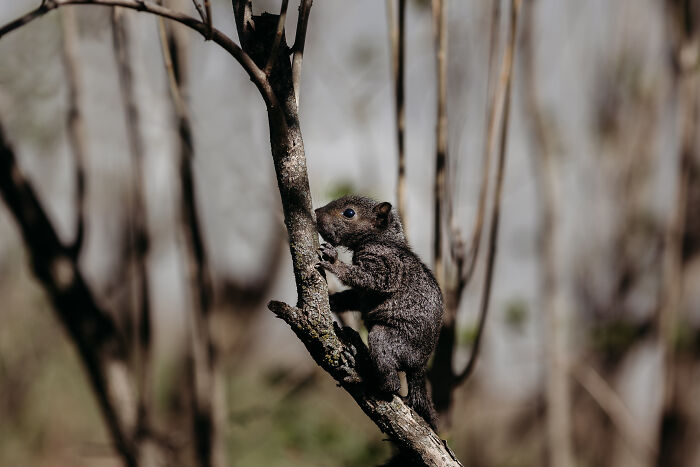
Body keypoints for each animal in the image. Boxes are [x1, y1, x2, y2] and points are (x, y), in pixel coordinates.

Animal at [315, 195, 443, 430]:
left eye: (349, 213)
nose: (316, 212)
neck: (383, 239)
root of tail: (420, 366)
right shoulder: (362, 294)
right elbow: (354, 297)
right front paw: (331, 300)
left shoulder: (386, 265)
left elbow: (370, 279)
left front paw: (334, 261)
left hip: (388, 339)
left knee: (391, 384)